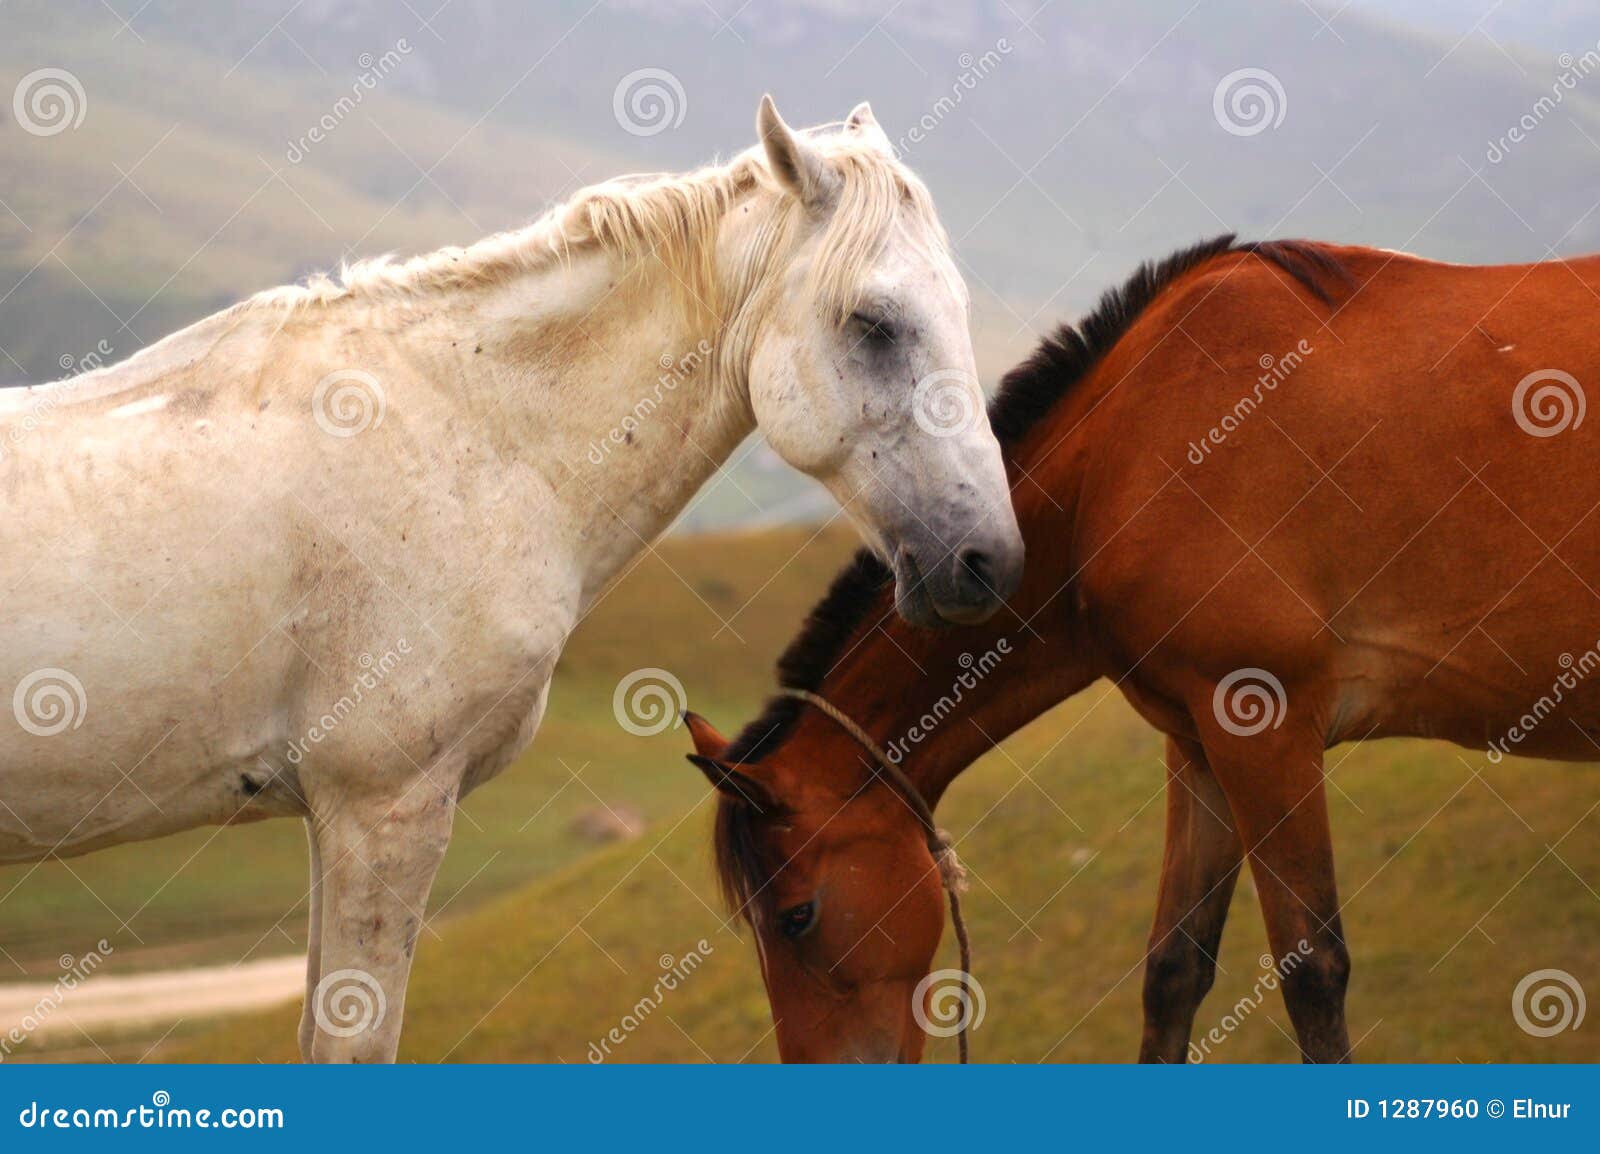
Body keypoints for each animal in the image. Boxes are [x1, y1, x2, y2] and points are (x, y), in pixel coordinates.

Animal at [681, 236, 1600, 1062]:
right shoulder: (1201, 746)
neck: (1129, 455)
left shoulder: (1269, 732)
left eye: (797, 916)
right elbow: (1172, 975)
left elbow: (1313, 975)